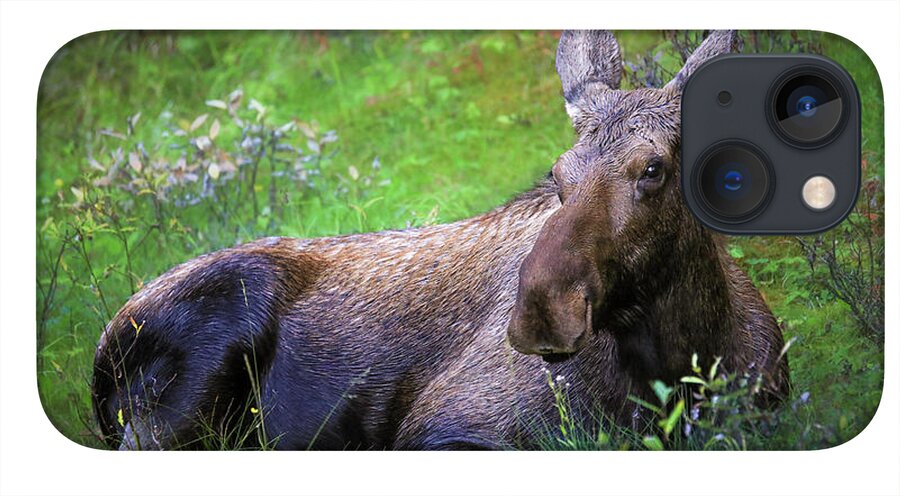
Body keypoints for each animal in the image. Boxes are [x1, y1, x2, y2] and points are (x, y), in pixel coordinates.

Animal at [91, 30, 788, 450]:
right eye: (558, 173)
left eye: (654, 169)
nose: (542, 310)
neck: (684, 363)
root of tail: (101, 358)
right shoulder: (443, 428)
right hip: (184, 389)